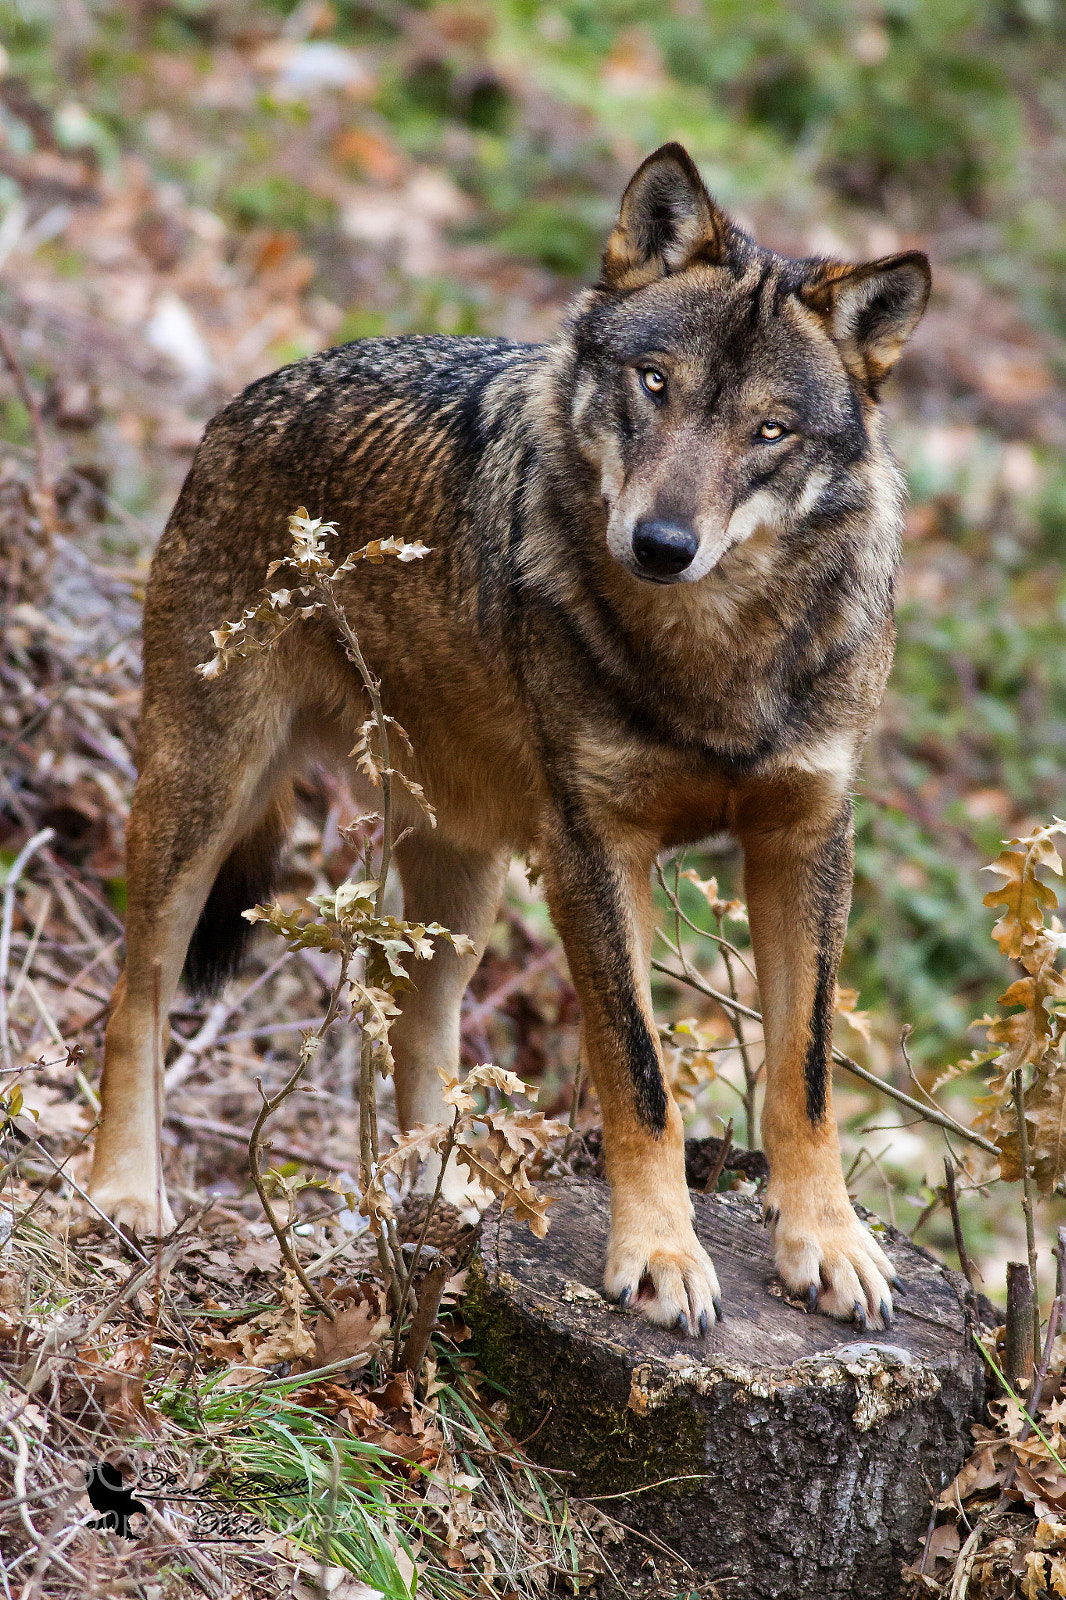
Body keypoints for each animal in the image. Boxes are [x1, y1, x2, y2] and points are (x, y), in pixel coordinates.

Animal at [88, 143, 929, 1335]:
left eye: (769, 431)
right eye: (654, 384)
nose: (660, 544)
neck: (716, 652)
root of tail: (252, 394)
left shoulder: (806, 834)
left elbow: (804, 1073)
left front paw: (829, 1243)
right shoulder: (592, 852)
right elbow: (640, 1075)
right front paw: (660, 1257)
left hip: (464, 878)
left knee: (414, 1030)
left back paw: (437, 1209)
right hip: (203, 795)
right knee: (137, 997)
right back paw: (124, 1192)